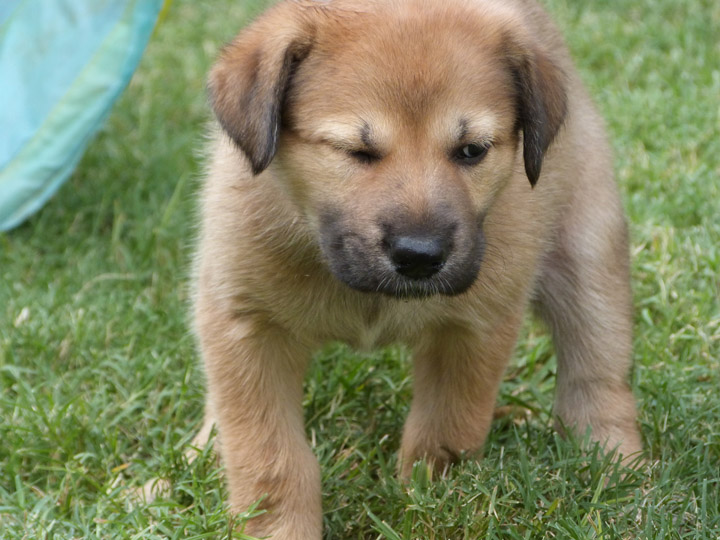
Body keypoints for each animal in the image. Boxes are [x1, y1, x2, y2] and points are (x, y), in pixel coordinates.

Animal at [188, 1, 644, 536]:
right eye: (356, 152)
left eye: (471, 150)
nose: (420, 256)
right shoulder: (245, 325)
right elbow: (270, 456)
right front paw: (275, 527)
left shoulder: (475, 327)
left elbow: (445, 431)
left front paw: (431, 503)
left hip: (590, 253)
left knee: (597, 375)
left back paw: (615, 466)